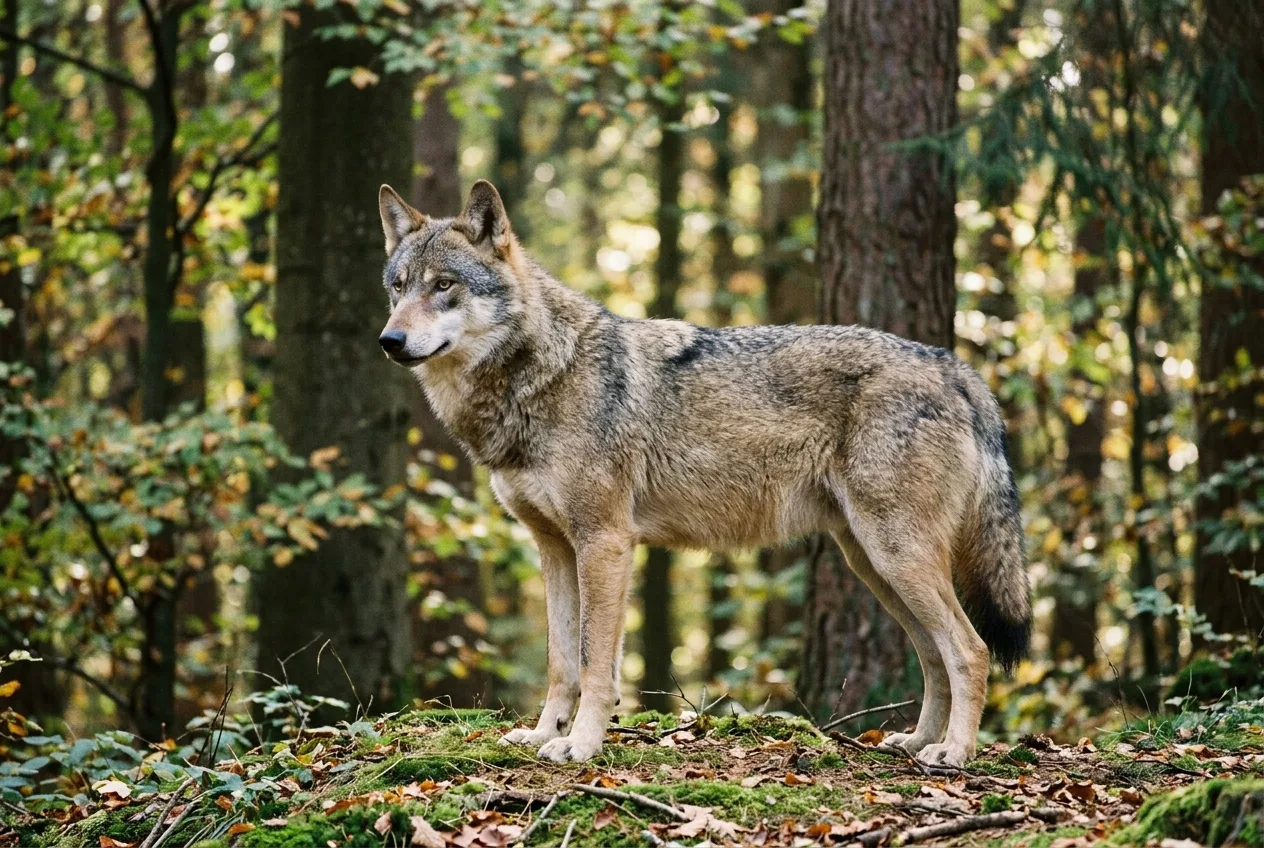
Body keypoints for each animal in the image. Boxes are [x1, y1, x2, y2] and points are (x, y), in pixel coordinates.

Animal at [375, 180, 1030, 768]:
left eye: (444, 286)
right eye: (398, 288)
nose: (390, 340)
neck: (538, 376)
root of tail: (953, 366)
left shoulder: (605, 543)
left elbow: (593, 664)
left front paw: (580, 746)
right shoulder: (555, 548)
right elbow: (562, 662)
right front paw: (539, 736)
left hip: (896, 556)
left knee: (970, 650)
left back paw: (954, 754)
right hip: (873, 563)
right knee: (934, 655)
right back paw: (917, 742)